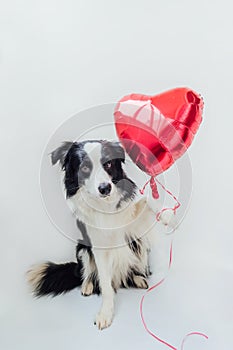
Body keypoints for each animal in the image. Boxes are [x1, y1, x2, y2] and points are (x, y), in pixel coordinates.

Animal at [26, 139, 173, 328]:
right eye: (84, 168)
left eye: (108, 164)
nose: (105, 188)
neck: (105, 204)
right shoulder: (98, 247)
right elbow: (104, 284)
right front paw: (105, 313)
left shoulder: (135, 226)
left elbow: (147, 201)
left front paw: (166, 214)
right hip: (81, 250)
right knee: (87, 273)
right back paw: (87, 286)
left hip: (140, 248)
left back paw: (138, 278)